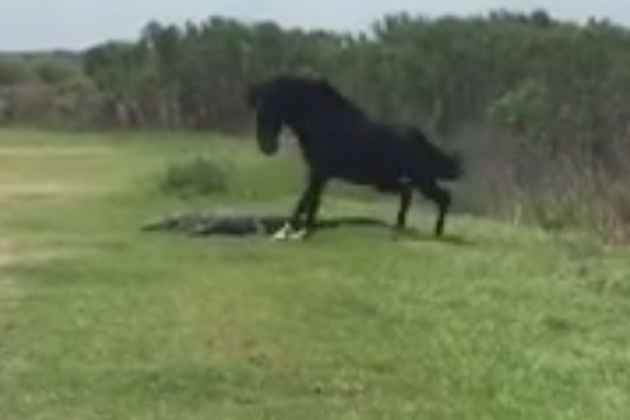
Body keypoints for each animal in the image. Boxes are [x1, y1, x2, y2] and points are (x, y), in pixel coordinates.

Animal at [247, 73, 464, 238]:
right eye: (257, 112)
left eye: (268, 109)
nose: (267, 148)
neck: (321, 121)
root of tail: (419, 138)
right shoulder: (319, 174)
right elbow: (310, 202)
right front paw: (301, 230)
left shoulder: (319, 172)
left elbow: (305, 201)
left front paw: (291, 232)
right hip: (386, 182)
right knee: (408, 193)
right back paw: (399, 227)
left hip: (422, 179)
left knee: (443, 198)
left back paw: (437, 231)